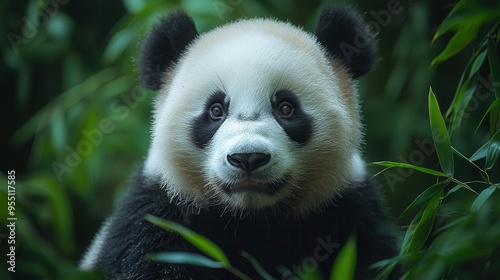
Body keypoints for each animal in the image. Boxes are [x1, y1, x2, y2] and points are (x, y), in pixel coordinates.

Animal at [81, 4, 398, 280]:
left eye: (286, 108)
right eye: (215, 110)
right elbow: (147, 260)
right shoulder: (158, 211)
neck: (251, 219)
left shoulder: (349, 208)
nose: (248, 158)